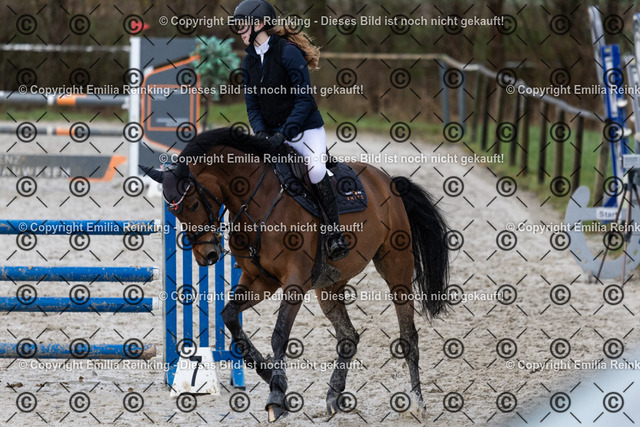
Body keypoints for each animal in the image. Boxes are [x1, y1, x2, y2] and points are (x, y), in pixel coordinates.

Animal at [141, 127, 450, 421]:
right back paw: (333, 396)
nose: (207, 256)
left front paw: (277, 397)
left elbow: (279, 335)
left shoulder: (294, 282)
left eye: (193, 204)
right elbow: (229, 317)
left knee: (408, 337)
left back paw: (417, 404)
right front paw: (268, 374)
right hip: (329, 286)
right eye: (176, 213)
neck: (257, 199)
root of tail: (387, 180)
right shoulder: (260, 281)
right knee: (348, 336)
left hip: (396, 266)